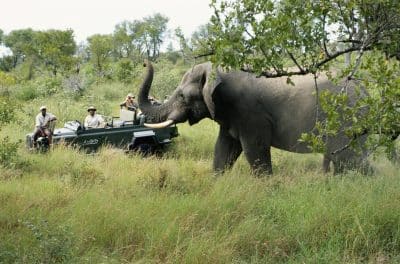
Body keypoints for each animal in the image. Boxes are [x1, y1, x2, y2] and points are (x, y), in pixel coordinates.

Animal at [137, 60, 368, 174]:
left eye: (182, 96)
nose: (144, 62)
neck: (217, 69)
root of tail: (364, 91)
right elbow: (223, 149)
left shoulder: (250, 113)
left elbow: (254, 151)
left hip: (345, 121)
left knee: (349, 160)